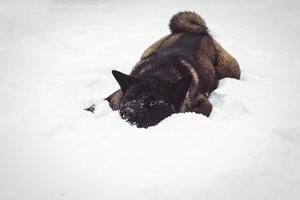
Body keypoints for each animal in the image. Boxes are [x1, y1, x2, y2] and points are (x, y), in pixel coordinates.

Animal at [104, 10, 240, 127]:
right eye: (129, 98)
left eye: (153, 103)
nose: (128, 112)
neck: (158, 72)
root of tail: (197, 32)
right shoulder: (115, 97)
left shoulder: (204, 102)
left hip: (231, 68)